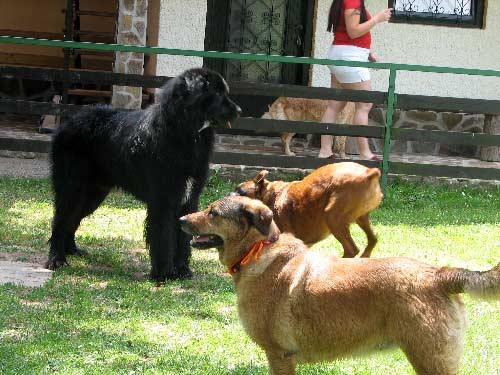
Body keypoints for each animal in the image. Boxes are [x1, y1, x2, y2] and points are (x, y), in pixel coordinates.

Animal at [48, 67, 242, 280]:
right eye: (217, 93)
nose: (239, 111)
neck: (185, 130)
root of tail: (67, 122)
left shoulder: (188, 199)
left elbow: (183, 237)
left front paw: (182, 270)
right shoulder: (163, 200)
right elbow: (163, 236)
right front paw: (163, 273)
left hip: (93, 194)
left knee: (72, 220)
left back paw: (72, 250)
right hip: (72, 187)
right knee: (60, 221)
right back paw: (57, 259)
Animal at [234, 163, 382, 260]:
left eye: (240, 192)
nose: (230, 194)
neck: (271, 196)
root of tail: (369, 173)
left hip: (333, 218)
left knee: (351, 249)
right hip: (361, 218)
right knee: (373, 239)